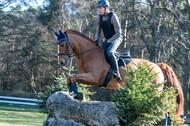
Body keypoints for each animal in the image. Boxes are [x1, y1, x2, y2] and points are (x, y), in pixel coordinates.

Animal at [54, 29, 184, 116]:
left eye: (63, 44)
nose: (61, 62)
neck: (89, 54)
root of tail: (157, 65)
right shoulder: (88, 79)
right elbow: (70, 78)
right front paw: (75, 93)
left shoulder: (94, 78)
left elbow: (73, 77)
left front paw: (76, 93)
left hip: (154, 91)